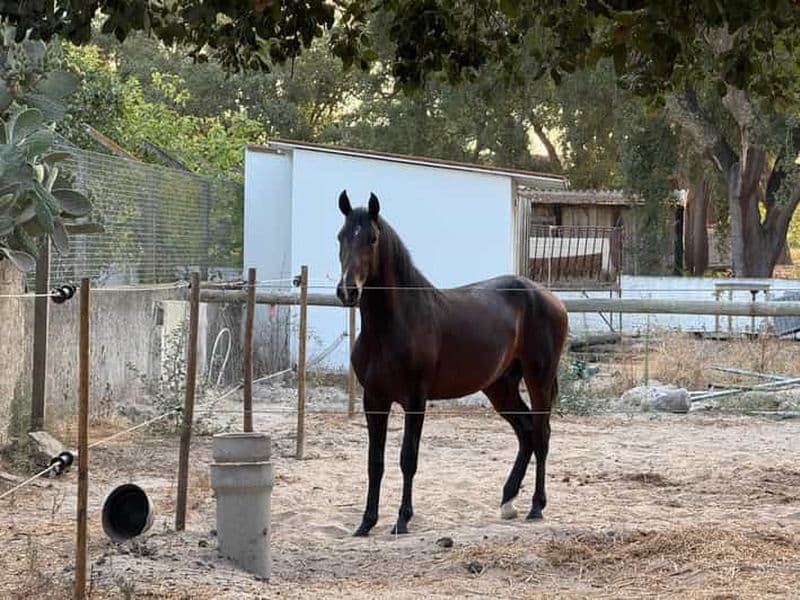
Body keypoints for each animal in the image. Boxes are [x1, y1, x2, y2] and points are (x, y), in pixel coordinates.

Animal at [335, 190, 568, 537]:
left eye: (372, 238)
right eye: (340, 237)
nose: (348, 290)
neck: (391, 327)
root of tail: (551, 298)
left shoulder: (415, 400)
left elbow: (408, 458)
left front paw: (402, 519)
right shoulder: (373, 400)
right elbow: (374, 463)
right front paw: (365, 523)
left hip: (538, 377)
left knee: (541, 434)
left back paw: (536, 507)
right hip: (500, 387)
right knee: (526, 431)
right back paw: (508, 501)